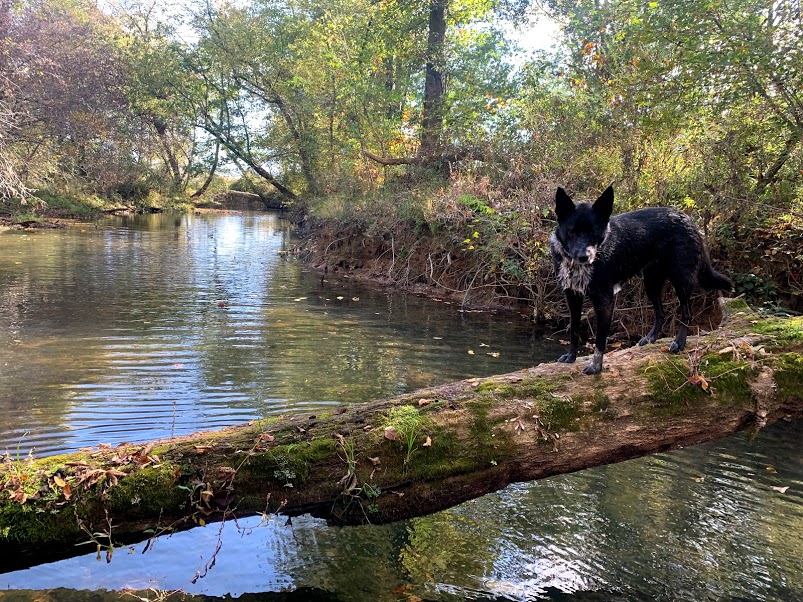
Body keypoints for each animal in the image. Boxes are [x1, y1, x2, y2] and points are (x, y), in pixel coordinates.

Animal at [552, 186, 736, 376]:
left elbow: (600, 339)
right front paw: (571, 356)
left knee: (686, 313)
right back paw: (651, 338)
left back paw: (679, 342)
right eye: (572, 232)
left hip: (681, 281)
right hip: (651, 283)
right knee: (660, 313)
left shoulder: (605, 300)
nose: (584, 257)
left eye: (594, 232)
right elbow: (574, 328)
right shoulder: (572, 296)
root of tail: (687, 219)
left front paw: (596, 366)